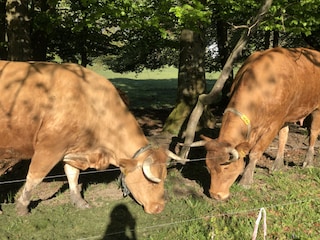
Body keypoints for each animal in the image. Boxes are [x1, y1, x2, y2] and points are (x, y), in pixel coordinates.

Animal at [0, 61, 184, 215]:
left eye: (164, 177)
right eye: (151, 181)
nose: (159, 208)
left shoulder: (72, 149)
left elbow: (73, 175)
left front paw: (79, 202)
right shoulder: (49, 148)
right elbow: (34, 177)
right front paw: (22, 207)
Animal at [198, 47, 320, 201]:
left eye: (226, 167)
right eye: (208, 165)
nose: (215, 195)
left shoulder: (274, 123)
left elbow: (255, 152)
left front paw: (246, 181)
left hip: (316, 108)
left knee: (313, 133)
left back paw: (308, 162)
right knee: (284, 135)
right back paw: (278, 165)